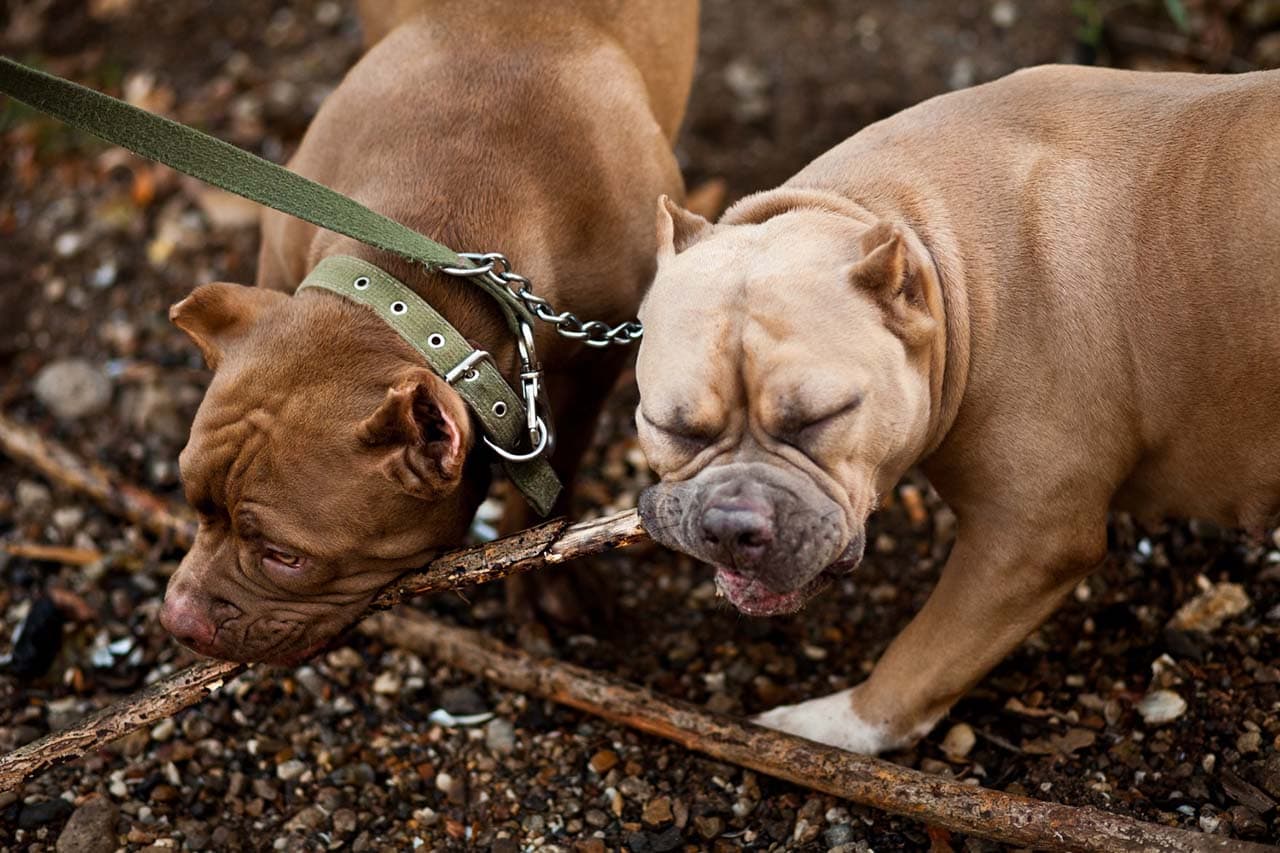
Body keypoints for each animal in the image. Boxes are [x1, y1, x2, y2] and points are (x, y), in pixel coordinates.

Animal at [637, 63, 1280, 747]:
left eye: (821, 419)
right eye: (671, 428)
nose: (732, 525)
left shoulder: (1031, 541)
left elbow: (921, 657)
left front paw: (828, 729)